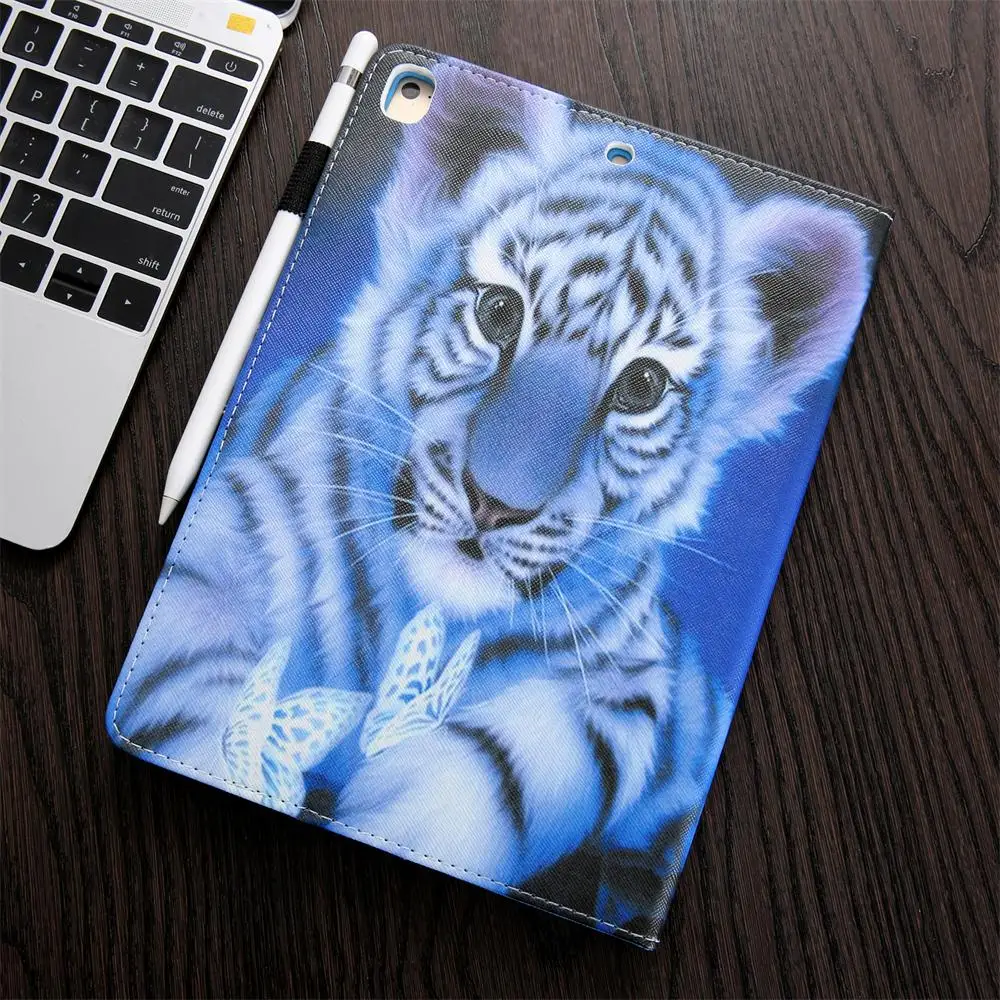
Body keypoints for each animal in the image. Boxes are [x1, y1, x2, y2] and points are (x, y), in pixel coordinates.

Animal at [109, 61, 873, 942]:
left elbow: (521, 760)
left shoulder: (636, 680)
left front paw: (399, 812)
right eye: (499, 311)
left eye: (643, 386)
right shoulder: (228, 537)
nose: (494, 505)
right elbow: (195, 676)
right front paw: (242, 757)